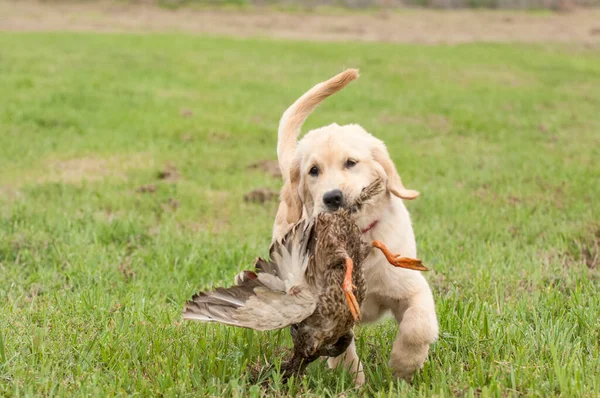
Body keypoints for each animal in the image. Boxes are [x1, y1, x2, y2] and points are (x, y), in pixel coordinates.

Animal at [272, 69, 436, 386]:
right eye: (313, 171)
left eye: (351, 163)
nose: (333, 197)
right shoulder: (330, 312)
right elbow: (341, 348)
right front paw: (352, 381)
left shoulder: (412, 288)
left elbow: (418, 327)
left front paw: (403, 368)